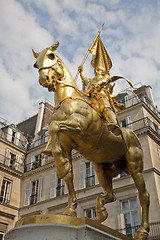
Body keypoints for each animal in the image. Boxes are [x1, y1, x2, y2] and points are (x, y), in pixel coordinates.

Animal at [32, 42, 150, 239]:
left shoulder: (78, 127)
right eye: (35, 64)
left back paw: (142, 231)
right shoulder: (66, 145)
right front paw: (70, 209)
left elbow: (55, 127)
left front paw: (59, 163)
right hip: (101, 168)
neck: (68, 100)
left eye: (51, 56)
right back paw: (100, 211)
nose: (44, 79)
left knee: (144, 196)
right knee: (111, 195)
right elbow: (68, 174)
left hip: (135, 167)